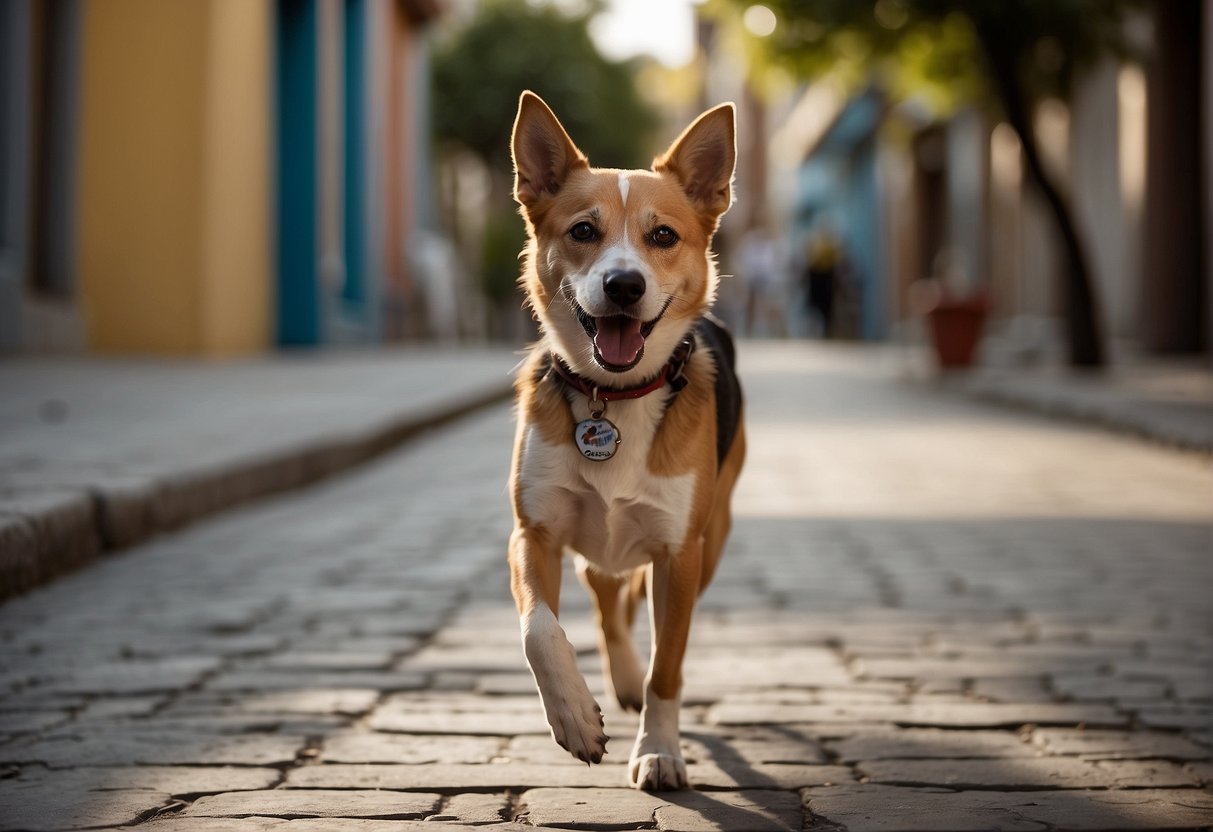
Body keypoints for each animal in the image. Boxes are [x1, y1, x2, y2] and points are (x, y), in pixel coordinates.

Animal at [507, 92, 742, 795]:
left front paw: (660, 750)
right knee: (605, 591)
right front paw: (575, 718)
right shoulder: (533, 534)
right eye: (583, 231)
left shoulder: (679, 555)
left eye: (662, 235)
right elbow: (540, 630)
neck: (614, 400)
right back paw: (618, 678)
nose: (624, 286)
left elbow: (670, 666)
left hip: (711, 539)